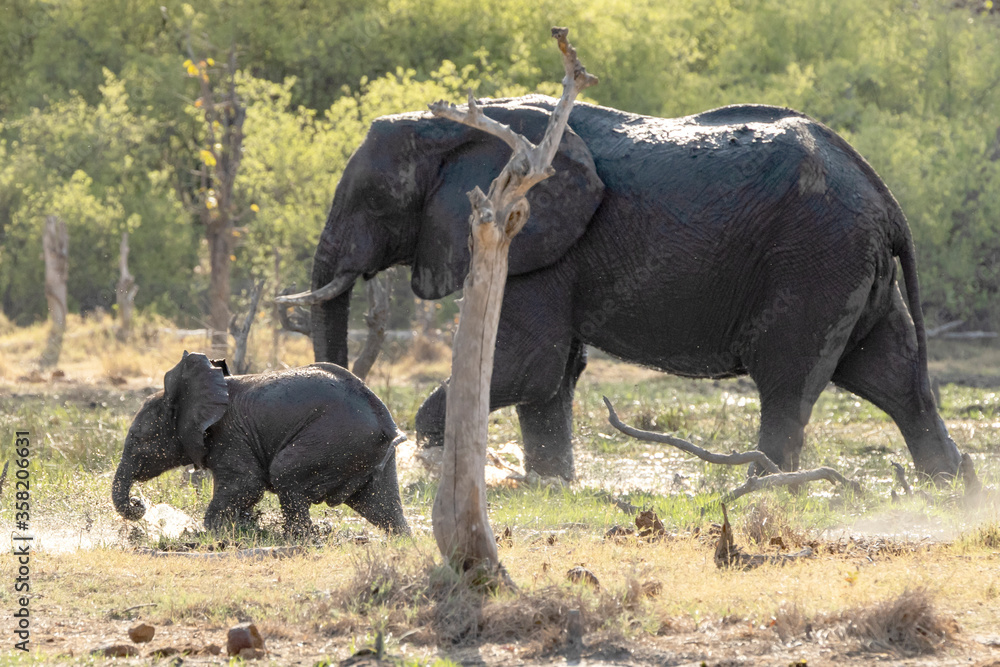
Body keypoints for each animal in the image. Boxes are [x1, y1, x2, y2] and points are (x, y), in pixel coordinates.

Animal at [112, 351, 410, 535]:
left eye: (137, 438)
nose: (139, 503)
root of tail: (386, 421)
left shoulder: (229, 435)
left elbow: (247, 483)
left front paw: (220, 532)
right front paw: (243, 527)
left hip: (334, 438)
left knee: (285, 472)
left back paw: (298, 540)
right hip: (363, 451)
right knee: (381, 505)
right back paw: (403, 541)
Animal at [297, 94, 962, 482]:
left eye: (377, 200)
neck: (453, 129)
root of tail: (886, 198)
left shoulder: (529, 233)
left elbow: (527, 365)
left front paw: (434, 463)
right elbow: (551, 376)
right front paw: (553, 486)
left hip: (816, 259)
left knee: (788, 385)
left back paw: (767, 491)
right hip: (852, 267)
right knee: (898, 381)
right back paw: (956, 495)